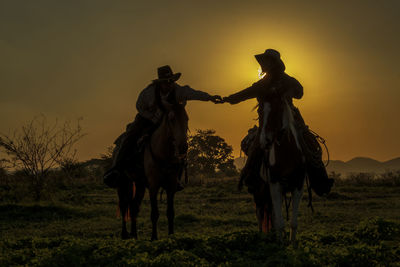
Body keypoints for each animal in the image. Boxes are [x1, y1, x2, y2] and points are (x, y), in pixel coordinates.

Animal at [117, 101, 189, 241]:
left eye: (186, 118)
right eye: (171, 119)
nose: (183, 146)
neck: (163, 154)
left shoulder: (171, 186)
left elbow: (170, 212)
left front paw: (171, 235)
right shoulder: (153, 185)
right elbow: (154, 213)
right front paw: (154, 237)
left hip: (139, 184)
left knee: (134, 207)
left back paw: (134, 235)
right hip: (123, 183)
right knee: (124, 205)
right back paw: (124, 234)